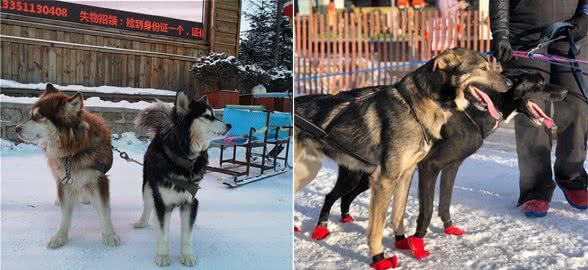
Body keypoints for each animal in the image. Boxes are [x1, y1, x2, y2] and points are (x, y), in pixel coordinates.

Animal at [15, 84, 120, 249]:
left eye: (38, 117)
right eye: (31, 116)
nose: (16, 129)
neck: (73, 149)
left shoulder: (99, 179)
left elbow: (104, 211)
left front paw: (109, 235)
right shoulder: (65, 180)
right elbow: (65, 213)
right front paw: (60, 236)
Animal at [133, 92, 232, 266]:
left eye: (214, 114)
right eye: (207, 116)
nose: (229, 125)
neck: (184, 158)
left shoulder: (190, 201)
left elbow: (187, 234)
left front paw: (187, 256)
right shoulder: (163, 201)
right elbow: (163, 233)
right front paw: (163, 255)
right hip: (147, 186)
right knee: (148, 205)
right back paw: (143, 221)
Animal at [296, 48, 512, 268]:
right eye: (483, 68)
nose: (510, 83)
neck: (415, 107)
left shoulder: (406, 175)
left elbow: (398, 212)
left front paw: (402, 241)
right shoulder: (385, 180)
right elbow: (377, 228)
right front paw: (379, 258)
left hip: (310, 172)